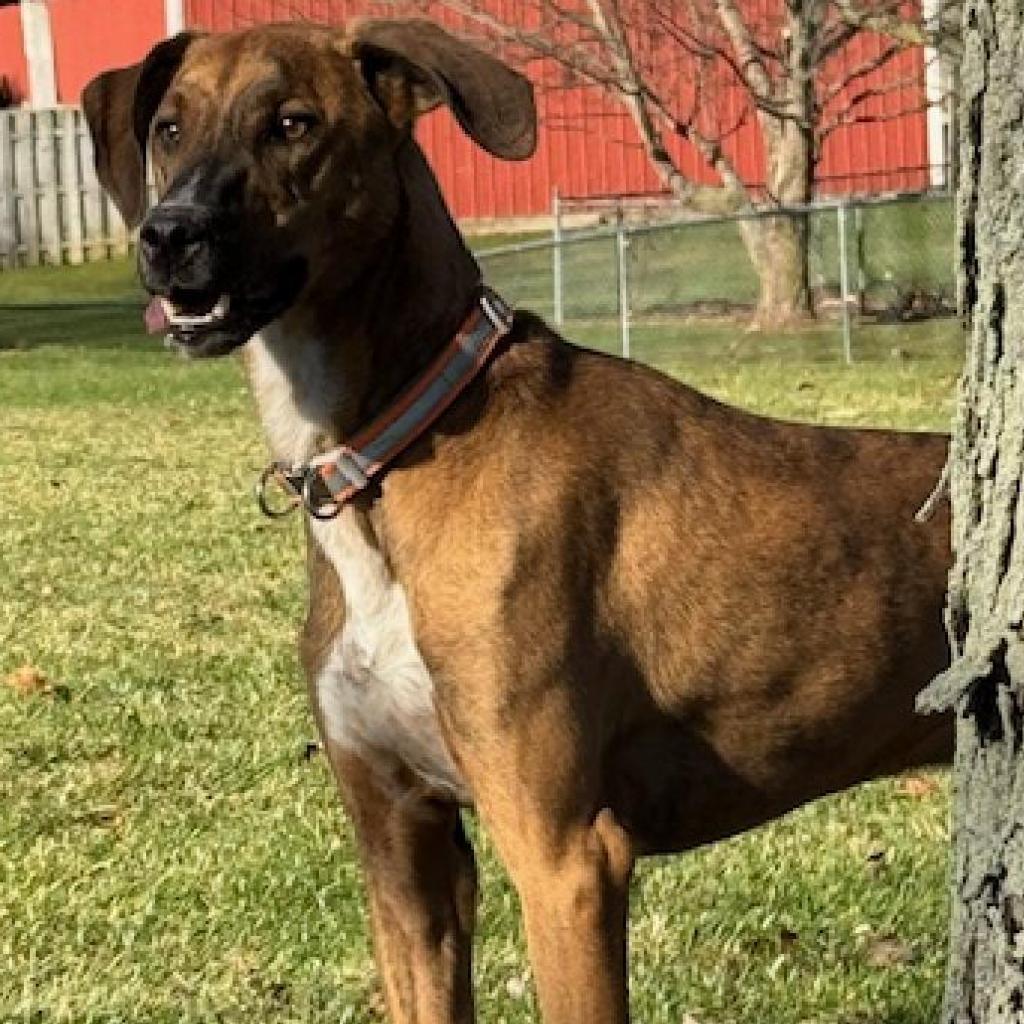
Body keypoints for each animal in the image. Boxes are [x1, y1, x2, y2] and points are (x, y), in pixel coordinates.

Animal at [81, 22, 950, 1024]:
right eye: (169, 128)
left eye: (293, 124)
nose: (168, 234)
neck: (393, 456)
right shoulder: (404, 846)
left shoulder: (565, 856)